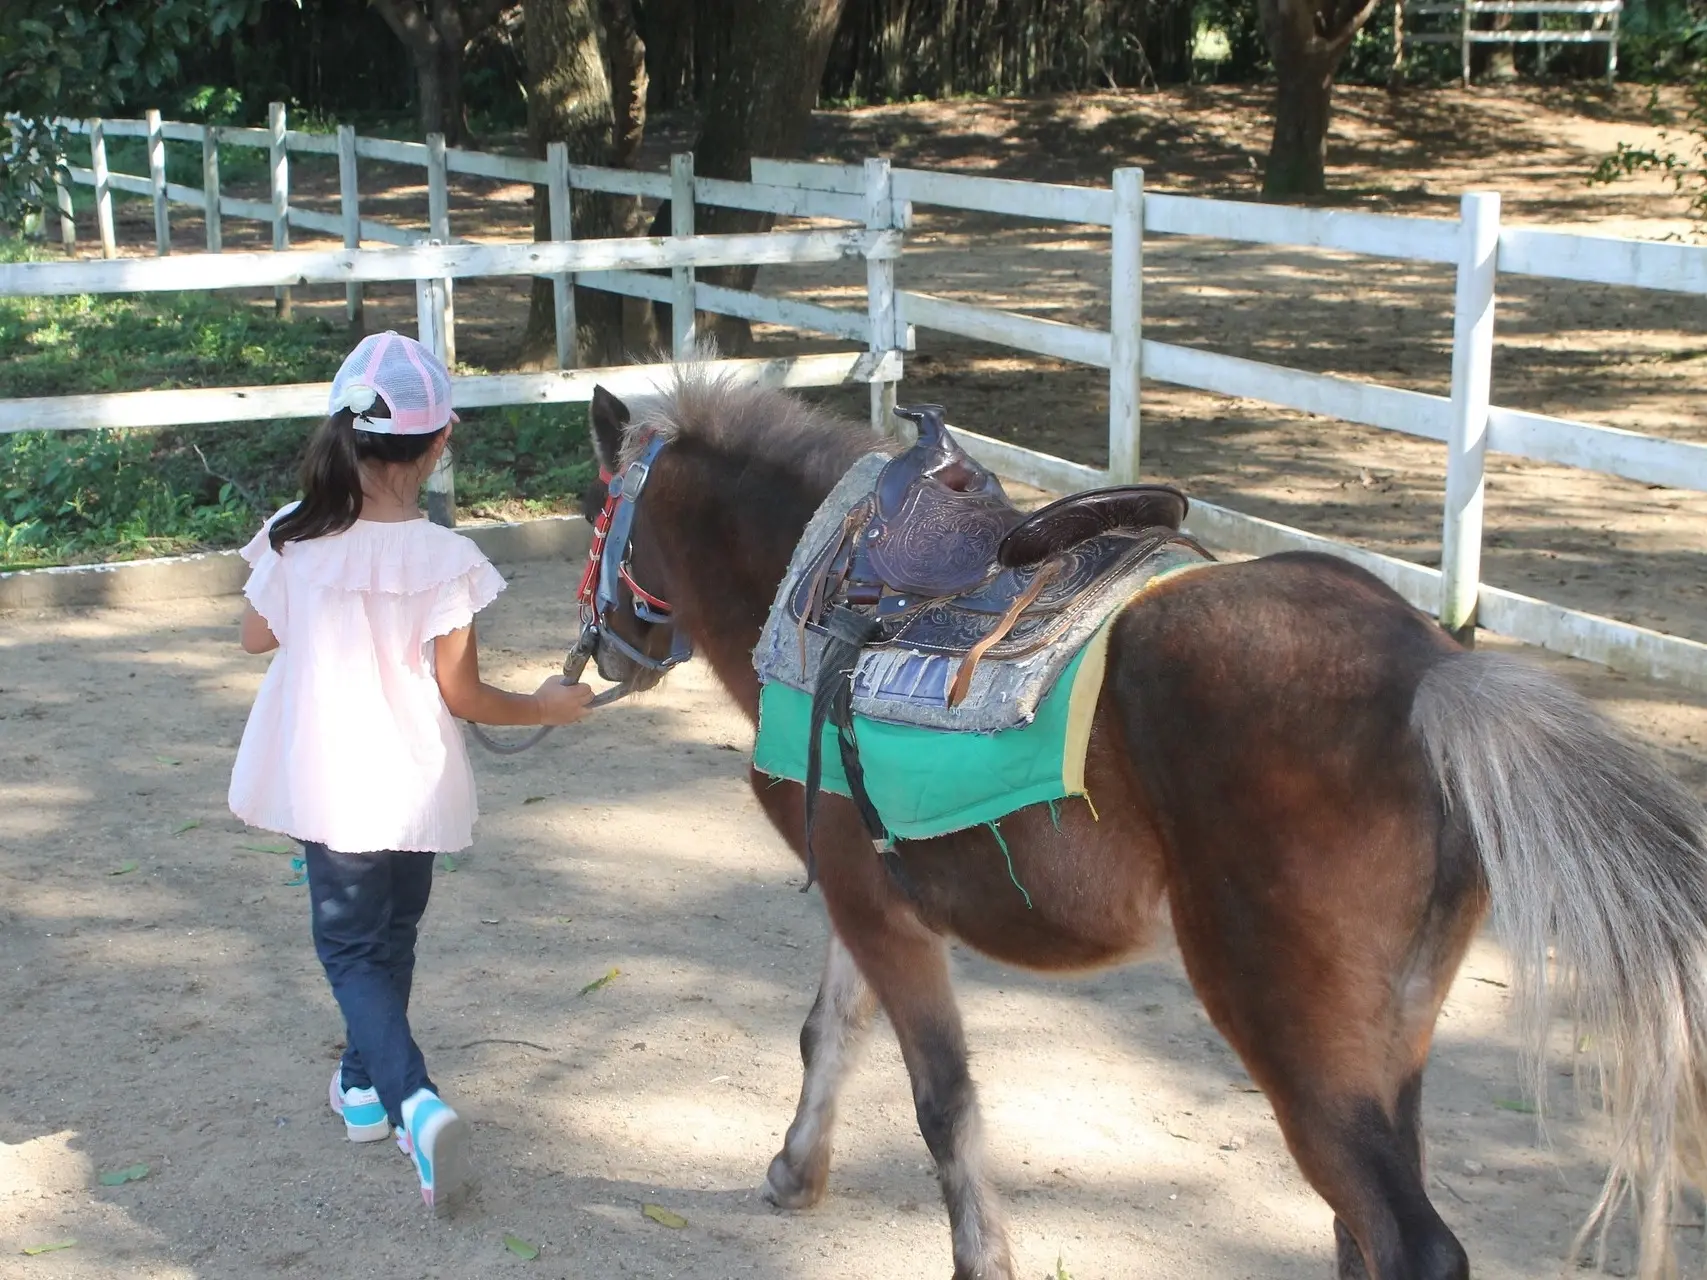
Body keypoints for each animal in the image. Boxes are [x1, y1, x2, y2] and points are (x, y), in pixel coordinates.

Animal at [573, 370, 1707, 1280]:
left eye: (592, 515)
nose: (605, 650)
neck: (817, 583)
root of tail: (1434, 671)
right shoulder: (871, 898)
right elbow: (829, 1033)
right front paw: (794, 1169)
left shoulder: (877, 913)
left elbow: (941, 1098)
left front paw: (980, 1257)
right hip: (1390, 1040)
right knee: (1362, 1228)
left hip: (1296, 1038)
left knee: (1407, 1241)